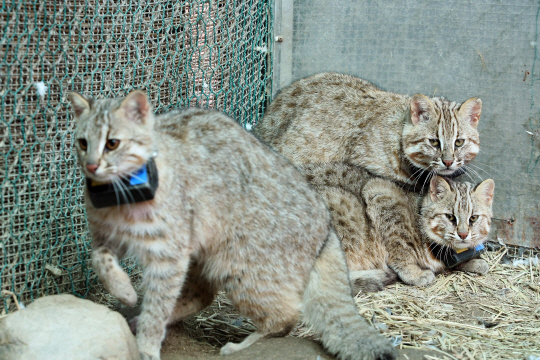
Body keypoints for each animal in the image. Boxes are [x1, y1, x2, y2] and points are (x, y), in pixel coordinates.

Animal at [68, 90, 396, 360]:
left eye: (112, 143)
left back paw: (250, 340)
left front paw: (147, 344)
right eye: (82, 143)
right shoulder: (106, 235)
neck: (119, 195)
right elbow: (99, 258)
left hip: (242, 266)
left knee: (285, 315)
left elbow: (158, 301)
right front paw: (121, 288)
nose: (91, 166)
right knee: (202, 294)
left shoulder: (169, 253)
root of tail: (327, 228)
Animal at [300, 163, 494, 292]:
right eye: (450, 217)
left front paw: (473, 261)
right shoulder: (380, 191)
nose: (463, 234)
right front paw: (414, 273)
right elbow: (400, 247)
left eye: (473, 218)